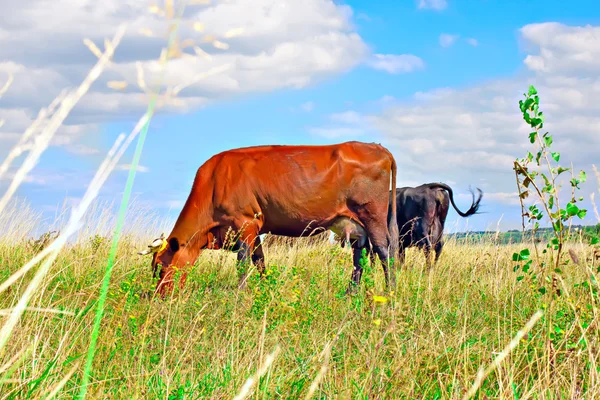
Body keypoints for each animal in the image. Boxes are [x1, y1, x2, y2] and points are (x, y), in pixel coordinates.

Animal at [140, 141, 400, 296]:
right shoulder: (254, 229)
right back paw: (349, 294)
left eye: (160, 266)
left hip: (372, 214)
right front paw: (264, 290)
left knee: (384, 250)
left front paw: (240, 294)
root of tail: (377, 147)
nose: (157, 296)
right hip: (353, 223)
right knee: (360, 256)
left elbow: (243, 263)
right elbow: (260, 261)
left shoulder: (245, 222)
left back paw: (390, 292)